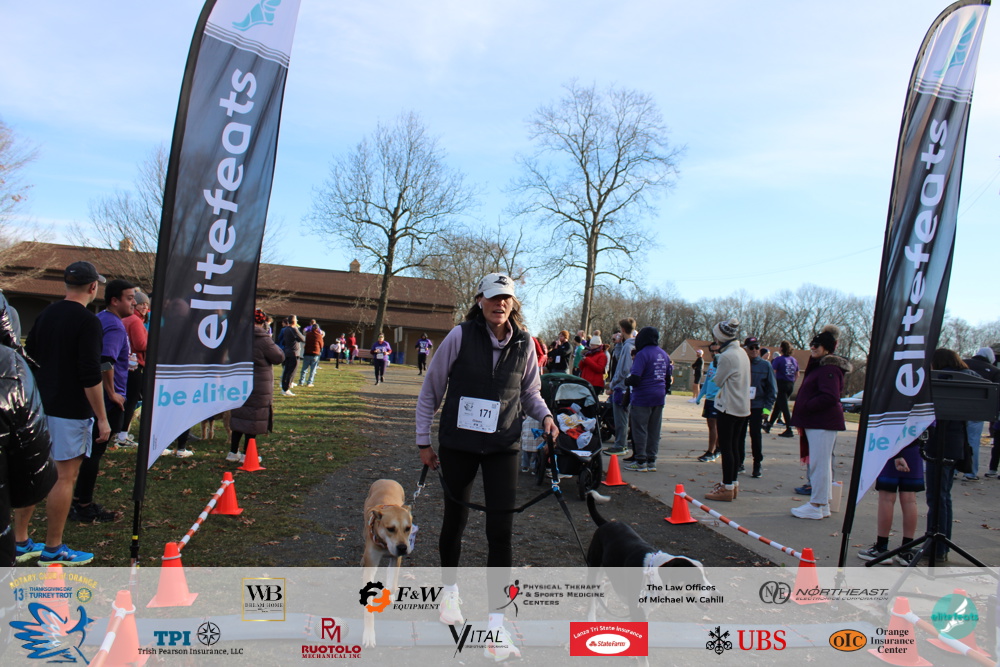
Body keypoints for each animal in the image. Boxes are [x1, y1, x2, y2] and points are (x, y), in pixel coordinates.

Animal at [361, 479, 414, 648]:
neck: (384, 543)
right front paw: (369, 634)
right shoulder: (371, 564)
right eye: (390, 528)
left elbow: (392, 583)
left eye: (408, 528)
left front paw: (390, 595)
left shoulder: (395, 558)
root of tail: (386, 480)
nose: (403, 548)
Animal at [585, 490, 709, 625]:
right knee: (592, 598)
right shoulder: (637, 611)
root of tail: (606, 523)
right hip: (595, 570)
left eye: (706, 576)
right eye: (695, 578)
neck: (652, 576)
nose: (715, 595)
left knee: (607, 584)